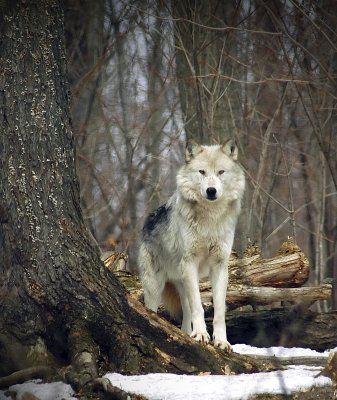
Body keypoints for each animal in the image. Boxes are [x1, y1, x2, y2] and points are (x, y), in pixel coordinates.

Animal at [137, 140, 244, 350]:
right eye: (202, 172)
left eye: (221, 172)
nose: (211, 191)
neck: (210, 218)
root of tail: (147, 221)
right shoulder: (190, 262)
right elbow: (199, 307)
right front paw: (201, 335)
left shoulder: (220, 266)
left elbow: (219, 310)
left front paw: (221, 341)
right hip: (156, 285)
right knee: (155, 308)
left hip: (182, 281)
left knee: (186, 311)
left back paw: (186, 334)